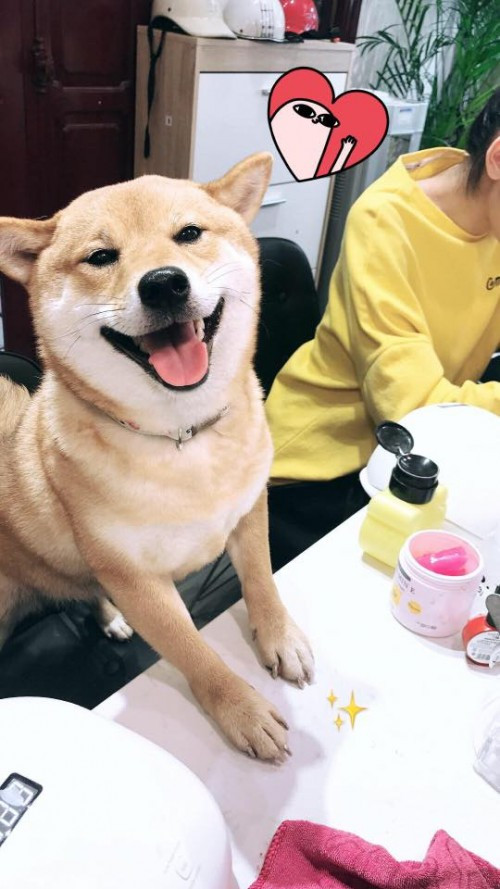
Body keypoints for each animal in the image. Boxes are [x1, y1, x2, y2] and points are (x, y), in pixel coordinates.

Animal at [0, 152, 314, 760]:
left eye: (188, 233)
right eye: (101, 256)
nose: (164, 284)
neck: (182, 435)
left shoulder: (248, 510)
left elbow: (263, 579)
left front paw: (280, 636)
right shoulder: (135, 577)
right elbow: (191, 649)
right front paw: (240, 708)